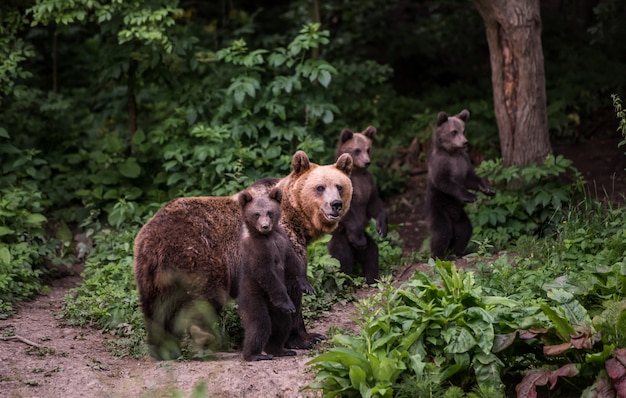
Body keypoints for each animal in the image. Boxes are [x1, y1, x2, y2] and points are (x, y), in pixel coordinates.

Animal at [238, 186, 298, 360]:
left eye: (270, 212)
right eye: (256, 214)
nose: (265, 226)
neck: (267, 236)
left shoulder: (282, 240)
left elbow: (292, 261)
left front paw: (305, 285)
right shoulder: (258, 251)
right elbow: (266, 274)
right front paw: (288, 303)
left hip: (275, 309)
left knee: (283, 323)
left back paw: (281, 350)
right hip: (253, 297)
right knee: (260, 323)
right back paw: (254, 354)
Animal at [326, 124, 386, 282]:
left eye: (368, 149)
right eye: (357, 150)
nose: (367, 162)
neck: (357, 173)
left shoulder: (369, 184)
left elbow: (375, 204)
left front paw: (382, 228)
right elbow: (347, 212)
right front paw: (359, 240)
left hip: (366, 244)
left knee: (371, 253)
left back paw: (372, 278)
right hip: (341, 237)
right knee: (342, 259)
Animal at [424, 107, 492, 260]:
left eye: (464, 130)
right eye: (454, 131)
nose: (465, 142)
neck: (452, 152)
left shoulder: (463, 161)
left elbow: (470, 178)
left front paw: (488, 189)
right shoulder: (441, 164)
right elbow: (446, 182)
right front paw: (471, 196)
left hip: (460, 215)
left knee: (465, 229)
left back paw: (459, 251)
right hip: (439, 207)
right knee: (442, 231)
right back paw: (439, 255)